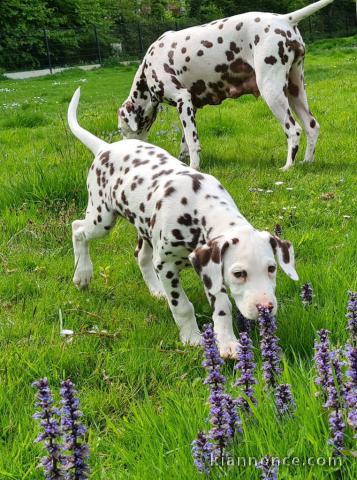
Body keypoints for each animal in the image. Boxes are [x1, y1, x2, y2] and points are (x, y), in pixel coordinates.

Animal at [67, 88, 298, 358]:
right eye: (239, 273)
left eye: (272, 268)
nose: (266, 308)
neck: (198, 207)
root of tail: (105, 147)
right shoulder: (167, 265)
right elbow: (182, 306)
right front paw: (192, 338)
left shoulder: (210, 269)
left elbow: (222, 305)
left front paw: (227, 341)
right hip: (102, 218)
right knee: (78, 229)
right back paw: (82, 274)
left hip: (143, 227)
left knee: (141, 256)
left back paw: (155, 290)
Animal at [118, 0, 332, 172]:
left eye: (121, 129)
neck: (147, 68)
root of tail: (285, 19)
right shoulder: (190, 107)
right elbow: (185, 143)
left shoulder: (182, 99)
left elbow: (192, 142)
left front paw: (194, 168)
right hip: (295, 92)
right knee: (312, 126)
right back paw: (307, 162)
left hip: (272, 92)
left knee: (293, 129)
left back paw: (288, 166)